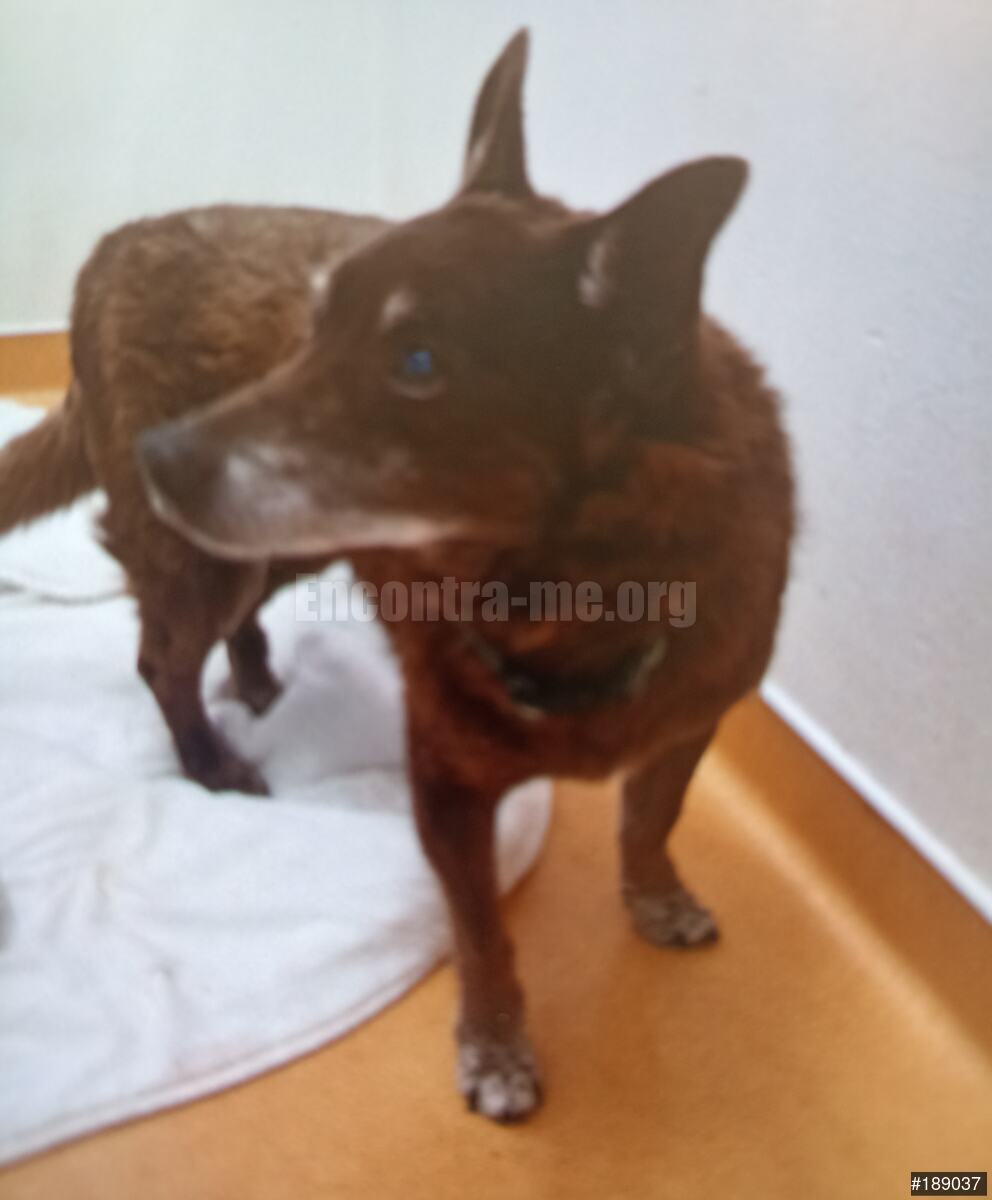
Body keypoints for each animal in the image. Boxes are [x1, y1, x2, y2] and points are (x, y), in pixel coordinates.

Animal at [0, 30, 793, 1120]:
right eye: (312, 327)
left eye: (417, 364)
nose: (161, 458)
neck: (570, 606)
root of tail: (105, 254)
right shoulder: (449, 793)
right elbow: (485, 936)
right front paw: (496, 1049)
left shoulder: (688, 723)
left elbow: (649, 818)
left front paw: (655, 897)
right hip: (214, 560)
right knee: (161, 662)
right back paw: (212, 761)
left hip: (277, 549)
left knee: (221, 633)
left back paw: (257, 680)